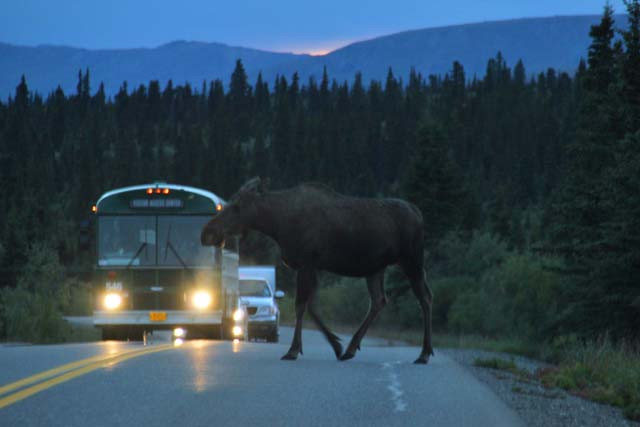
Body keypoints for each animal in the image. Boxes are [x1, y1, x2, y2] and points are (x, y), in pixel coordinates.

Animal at [200, 177, 436, 364]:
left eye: (237, 206)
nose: (208, 232)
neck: (276, 224)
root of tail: (420, 214)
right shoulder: (314, 266)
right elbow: (312, 306)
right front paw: (336, 345)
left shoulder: (306, 263)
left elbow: (301, 305)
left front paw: (293, 350)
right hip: (376, 268)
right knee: (379, 300)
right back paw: (351, 348)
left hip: (412, 260)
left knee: (424, 297)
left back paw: (424, 353)